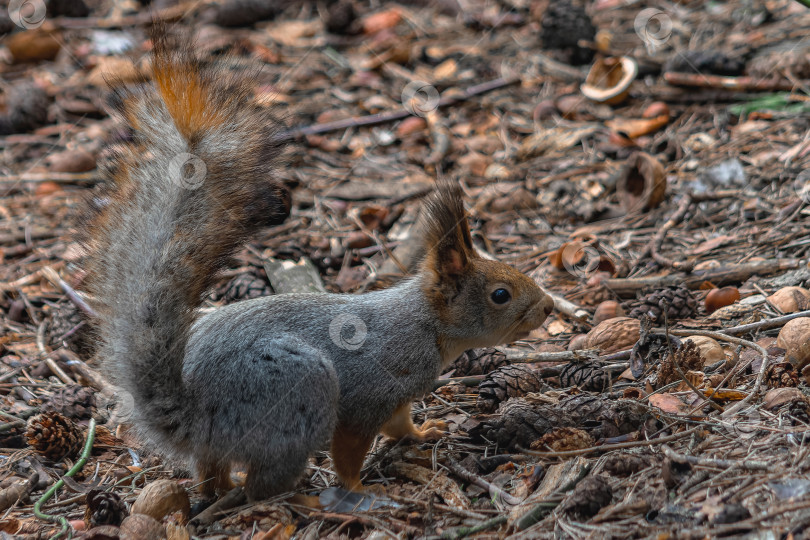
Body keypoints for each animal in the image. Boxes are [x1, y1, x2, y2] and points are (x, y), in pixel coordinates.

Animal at [87, 30, 556, 502]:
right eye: (500, 294)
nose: (549, 307)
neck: (426, 324)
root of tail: (197, 416)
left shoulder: (397, 399)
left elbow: (399, 424)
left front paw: (423, 434)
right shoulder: (372, 391)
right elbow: (350, 448)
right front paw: (361, 488)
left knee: (212, 474)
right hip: (300, 391)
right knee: (263, 485)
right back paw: (305, 499)